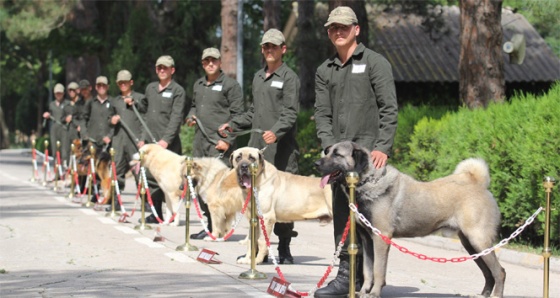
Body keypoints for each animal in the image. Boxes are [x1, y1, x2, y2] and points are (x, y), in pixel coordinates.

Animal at [316, 141, 508, 298]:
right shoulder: (367, 240)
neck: (369, 180)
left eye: (337, 154)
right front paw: (363, 292)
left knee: (499, 272)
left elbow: (378, 270)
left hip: (478, 240)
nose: (316, 163)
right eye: (327, 151)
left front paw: (374, 293)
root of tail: (478, 184)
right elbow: (368, 270)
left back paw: (496, 294)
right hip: (471, 244)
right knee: (488, 272)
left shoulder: (381, 238)